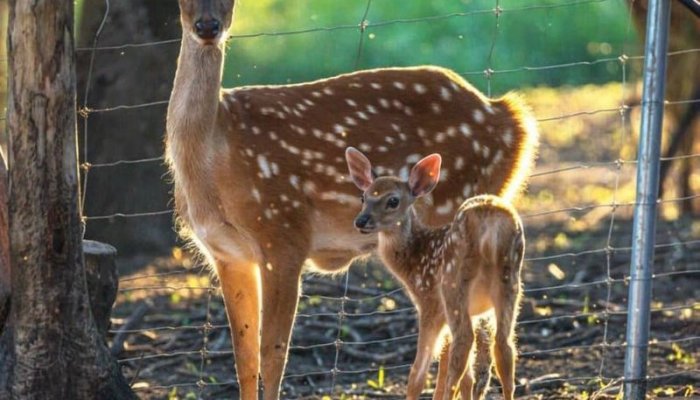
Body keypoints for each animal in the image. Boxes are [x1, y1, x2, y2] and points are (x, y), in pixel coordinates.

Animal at [344, 148, 524, 398]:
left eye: (393, 200)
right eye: (364, 197)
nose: (361, 221)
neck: (416, 256)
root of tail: (489, 223)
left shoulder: (430, 302)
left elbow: (419, 372)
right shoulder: (474, 312)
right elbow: (468, 375)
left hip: (452, 284)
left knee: (463, 342)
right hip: (510, 281)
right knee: (504, 347)